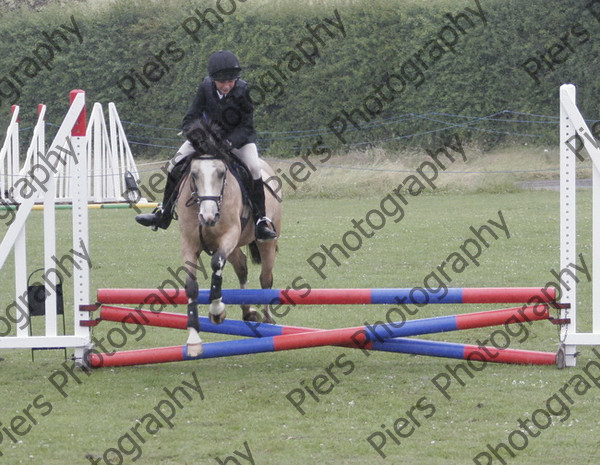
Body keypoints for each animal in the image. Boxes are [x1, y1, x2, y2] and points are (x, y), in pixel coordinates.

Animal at [177, 119, 282, 356]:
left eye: (222, 173)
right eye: (193, 174)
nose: (208, 217)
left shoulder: (229, 235)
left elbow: (216, 263)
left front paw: (217, 312)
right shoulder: (189, 244)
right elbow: (191, 286)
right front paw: (193, 339)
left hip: (266, 242)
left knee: (265, 278)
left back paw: (268, 319)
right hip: (234, 247)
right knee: (241, 267)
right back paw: (248, 311)